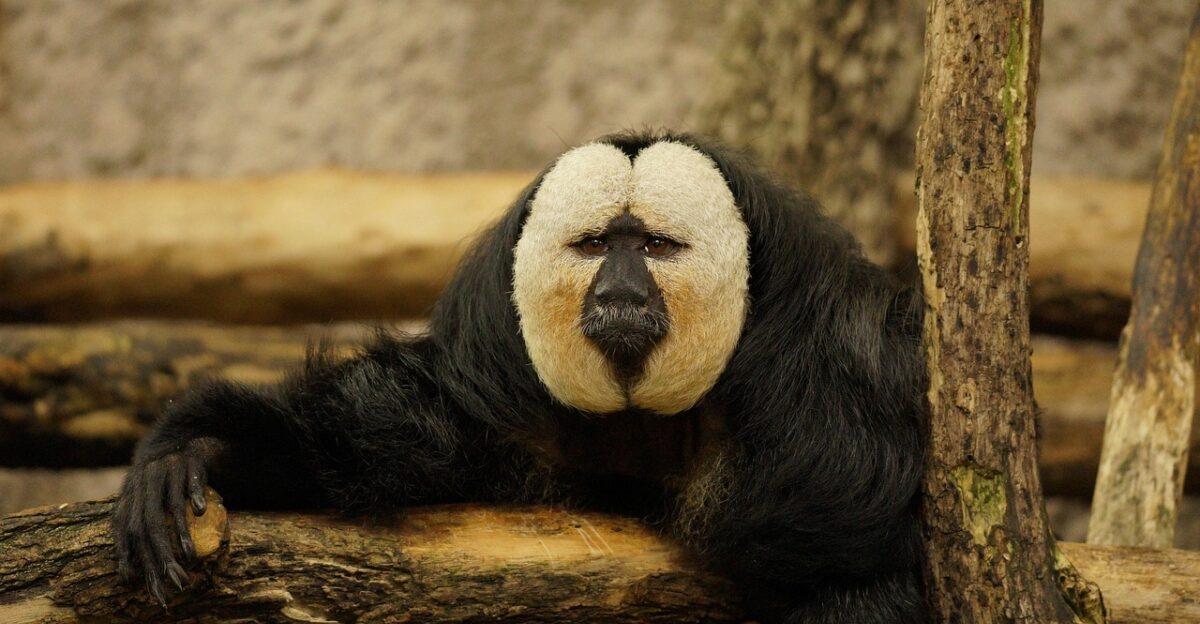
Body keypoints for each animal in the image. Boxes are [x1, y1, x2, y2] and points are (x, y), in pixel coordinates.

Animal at [112, 130, 928, 623]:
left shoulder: (827, 386)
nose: (621, 293)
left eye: (654, 248)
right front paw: (207, 449)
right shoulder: (502, 391)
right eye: (597, 245)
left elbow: (861, 551)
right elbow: (392, 440)